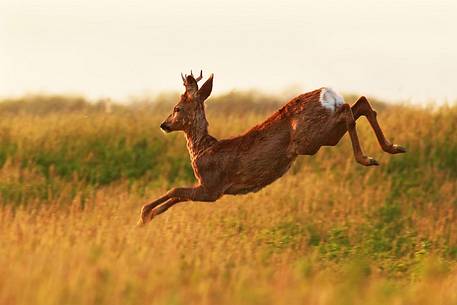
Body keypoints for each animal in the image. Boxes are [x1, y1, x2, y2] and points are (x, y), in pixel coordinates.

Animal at [136, 70, 406, 223]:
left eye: (177, 108)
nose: (164, 124)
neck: (203, 149)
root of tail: (327, 94)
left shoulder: (212, 188)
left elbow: (175, 190)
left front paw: (143, 214)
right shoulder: (208, 188)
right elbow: (177, 195)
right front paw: (149, 217)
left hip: (312, 138)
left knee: (350, 111)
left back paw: (367, 158)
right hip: (324, 134)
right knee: (361, 104)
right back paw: (393, 147)